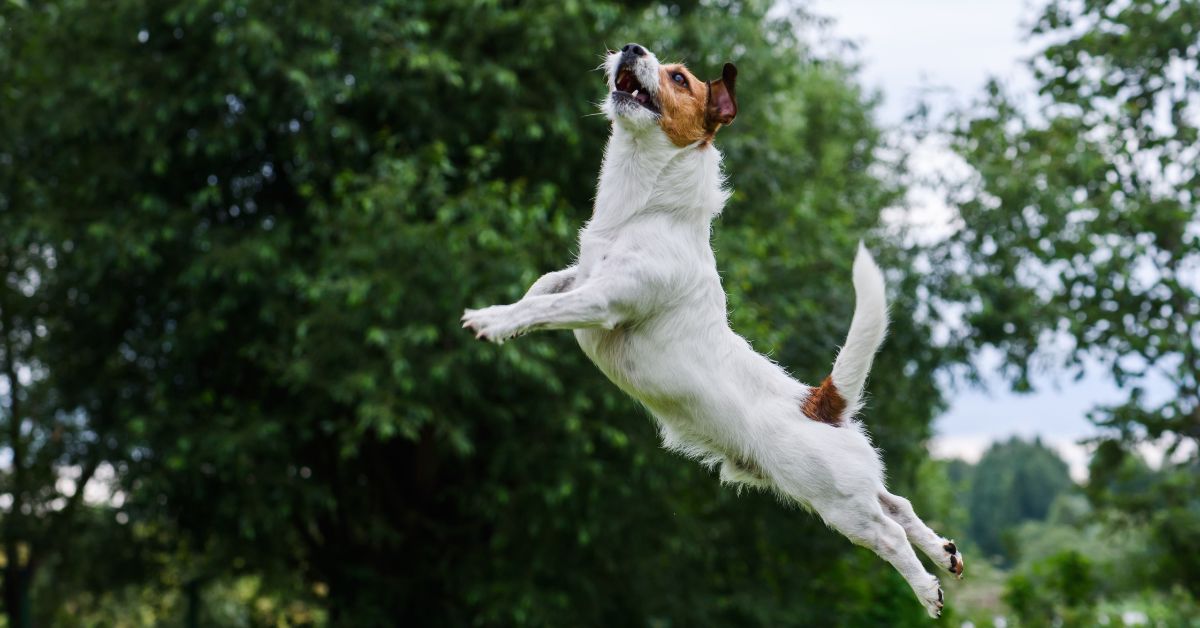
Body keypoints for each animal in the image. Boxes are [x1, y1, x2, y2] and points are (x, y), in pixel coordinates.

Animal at [460, 44, 964, 619]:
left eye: (679, 78)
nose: (631, 49)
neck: (645, 211)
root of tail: (819, 404)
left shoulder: (604, 300)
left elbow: (545, 307)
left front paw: (493, 320)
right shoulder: (579, 275)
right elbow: (542, 288)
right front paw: (511, 316)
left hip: (836, 502)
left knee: (888, 535)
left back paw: (926, 588)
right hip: (851, 486)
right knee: (897, 504)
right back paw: (943, 552)